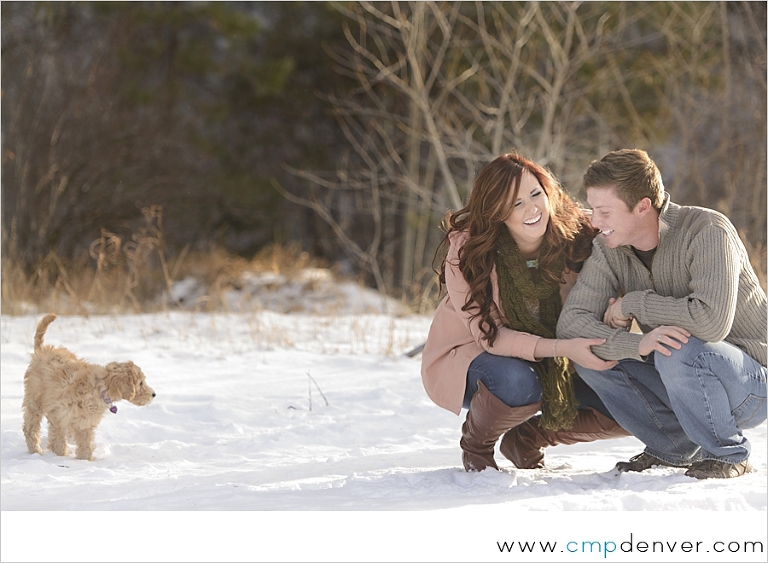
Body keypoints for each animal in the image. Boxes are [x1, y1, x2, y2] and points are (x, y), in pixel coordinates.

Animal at [21, 316, 154, 460]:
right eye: (140, 383)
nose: (154, 394)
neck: (100, 387)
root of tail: (41, 350)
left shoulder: (85, 423)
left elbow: (85, 443)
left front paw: (84, 459)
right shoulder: (58, 414)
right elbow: (58, 439)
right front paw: (60, 456)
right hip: (34, 400)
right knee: (30, 427)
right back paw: (35, 450)